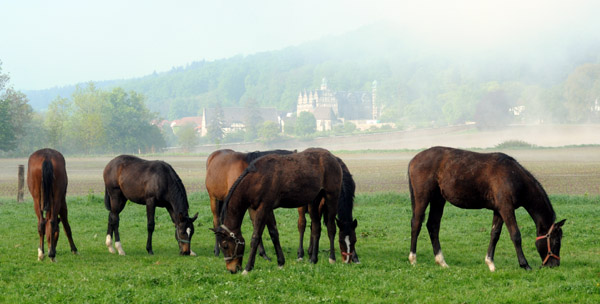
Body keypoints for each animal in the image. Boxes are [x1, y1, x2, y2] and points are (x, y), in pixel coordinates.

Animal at [214, 148, 342, 274]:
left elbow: (256, 237)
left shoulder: (264, 208)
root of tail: (333, 157)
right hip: (314, 201)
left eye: (225, 246)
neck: (257, 178)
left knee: (331, 227)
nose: (232, 269)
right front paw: (280, 262)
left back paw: (332, 258)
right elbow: (273, 233)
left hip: (332, 197)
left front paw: (248, 267)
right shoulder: (267, 209)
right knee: (316, 228)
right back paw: (313, 259)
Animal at [408, 146, 568, 272]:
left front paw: (490, 263)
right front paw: (525, 264)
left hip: (438, 200)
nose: (554, 264)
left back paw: (441, 262)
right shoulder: (506, 208)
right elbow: (516, 235)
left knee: (433, 226)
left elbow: (495, 234)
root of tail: (414, 159)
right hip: (423, 198)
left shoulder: (499, 210)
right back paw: (413, 259)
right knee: (416, 223)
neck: (513, 176)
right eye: (556, 242)